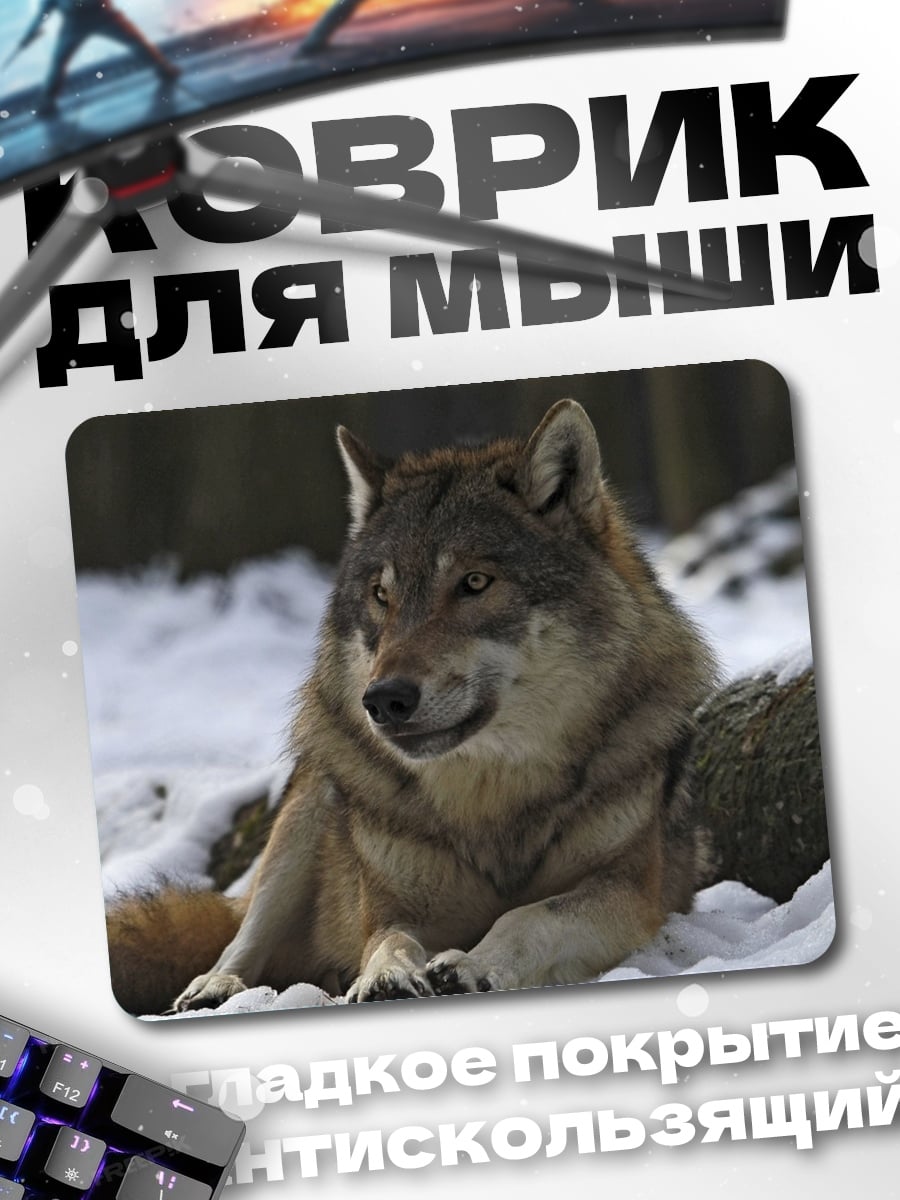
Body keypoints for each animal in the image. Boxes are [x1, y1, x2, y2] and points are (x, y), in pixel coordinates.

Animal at [107, 399, 717, 1013]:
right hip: (311, 804)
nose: (383, 699)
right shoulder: (392, 905)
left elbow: (529, 916)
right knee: (241, 935)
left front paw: (474, 966)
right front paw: (387, 975)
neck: (492, 800)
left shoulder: (631, 891)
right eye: (382, 595)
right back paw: (215, 989)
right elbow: (389, 938)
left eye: (475, 582)